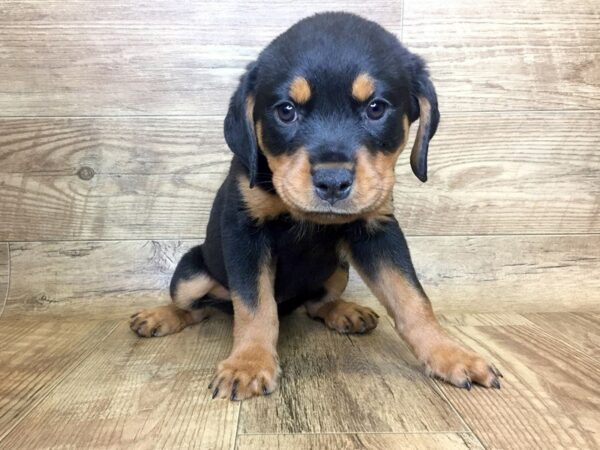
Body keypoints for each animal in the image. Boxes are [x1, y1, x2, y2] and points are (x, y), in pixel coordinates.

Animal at [130, 12, 502, 400]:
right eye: (286, 111)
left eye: (376, 108)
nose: (333, 182)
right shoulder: (245, 233)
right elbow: (254, 305)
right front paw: (248, 364)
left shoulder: (377, 229)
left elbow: (412, 298)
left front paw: (450, 354)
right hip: (191, 271)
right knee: (199, 307)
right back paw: (159, 316)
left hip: (339, 268)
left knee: (315, 302)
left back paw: (344, 311)